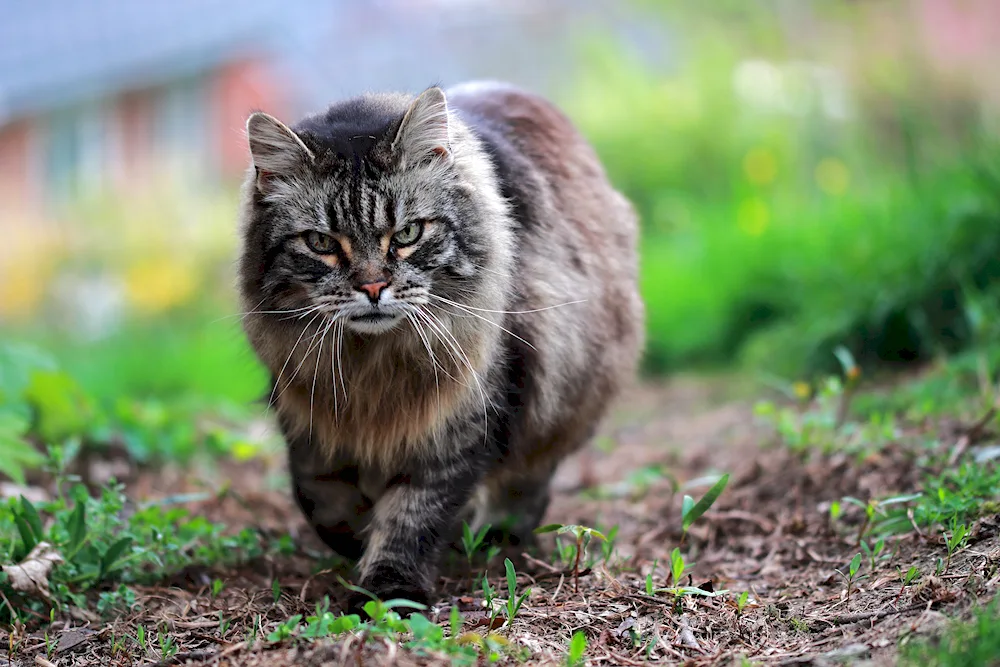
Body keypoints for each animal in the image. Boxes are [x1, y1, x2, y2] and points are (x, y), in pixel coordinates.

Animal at [241, 82, 644, 612]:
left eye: (408, 234)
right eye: (321, 243)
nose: (373, 287)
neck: (374, 365)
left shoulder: (459, 423)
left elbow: (411, 516)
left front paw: (389, 590)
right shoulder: (307, 415)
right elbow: (324, 501)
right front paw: (356, 544)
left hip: (562, 397)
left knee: (528, 484)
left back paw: (495, 538)